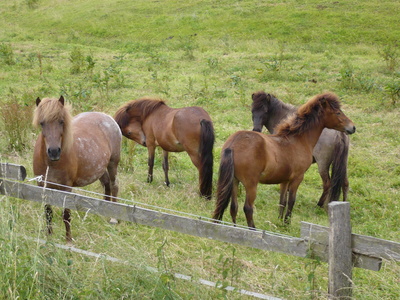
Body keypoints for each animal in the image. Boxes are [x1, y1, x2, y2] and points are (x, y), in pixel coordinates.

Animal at [32, 97, 121, 243]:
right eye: (42, 123)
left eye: (61, 121)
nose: (54, 151)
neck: (51, 164)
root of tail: (107, 117)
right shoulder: (43, 186)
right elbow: (48, 212)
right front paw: (49, 236)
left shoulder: (66, 187)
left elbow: (66, 214)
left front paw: (68, 240)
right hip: (99, 168)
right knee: (107, 183)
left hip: (113, 163)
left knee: (114, 185)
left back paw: (114, 217)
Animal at [212, 92, 356, 226]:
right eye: (338, 112)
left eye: (265, 111)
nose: (352, 127)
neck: (298, 139)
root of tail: (233, 144)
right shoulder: (297, 178)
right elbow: (291, 200)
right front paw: (287, 222)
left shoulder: (284, 180)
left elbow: (282, 200)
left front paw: (279, 220)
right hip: (251, 183)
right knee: (247, 208)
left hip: (234, 181)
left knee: (233, 207)